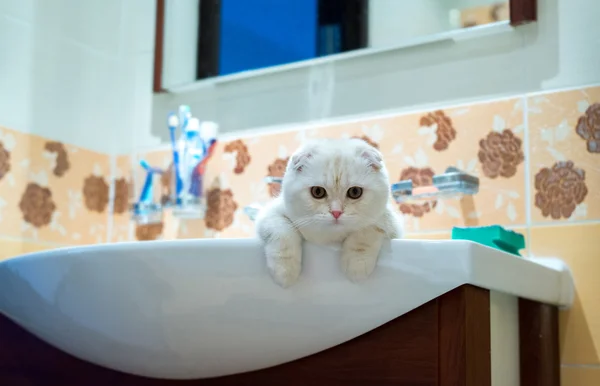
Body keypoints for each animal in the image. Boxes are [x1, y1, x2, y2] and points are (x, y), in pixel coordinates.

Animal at [254, 138, 404, 286]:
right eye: (317, 192)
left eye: (355, 192)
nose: (336, 212)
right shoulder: (270, 214)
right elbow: (282, 232)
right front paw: (284, 271)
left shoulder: (388, 220)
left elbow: (367, 231)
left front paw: (357, 264)